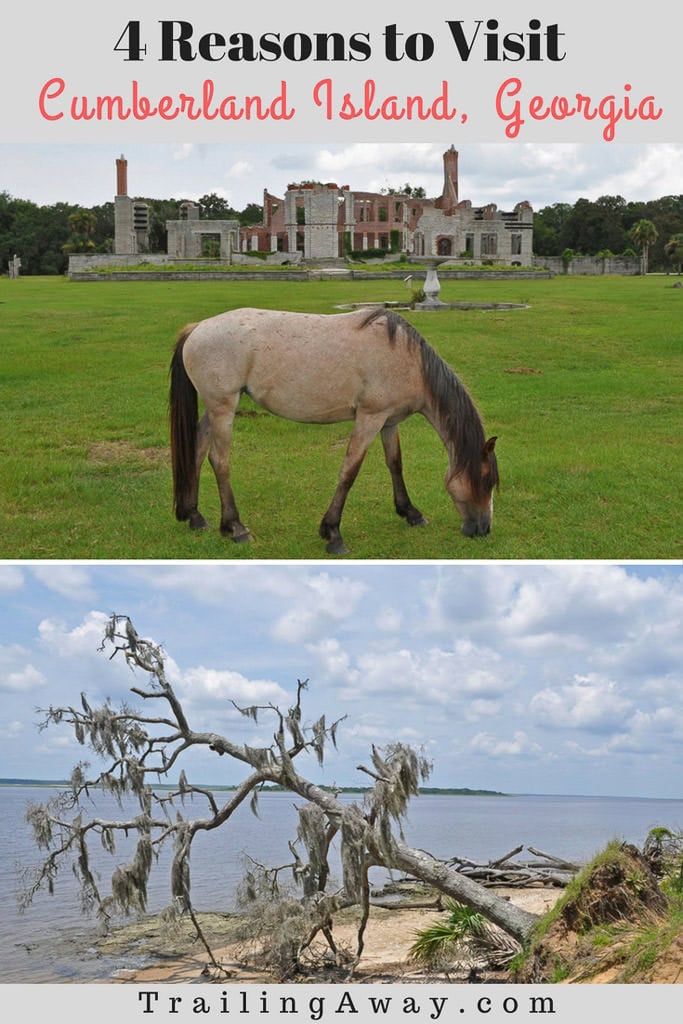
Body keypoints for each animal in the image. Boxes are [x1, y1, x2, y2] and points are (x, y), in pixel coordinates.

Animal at [166, 307, 497, 557]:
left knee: (197, 450)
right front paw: (333, 533)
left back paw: (195, 516)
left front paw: (410, 513)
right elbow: (349, 471)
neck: (408, 359)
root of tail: (198, 328)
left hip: (215, 409)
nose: (483, 529)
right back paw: (235, 527)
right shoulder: (369, 418)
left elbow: (395, 464)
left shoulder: (389, 422)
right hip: (223, 408)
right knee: (219, 461)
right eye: (486, 481)